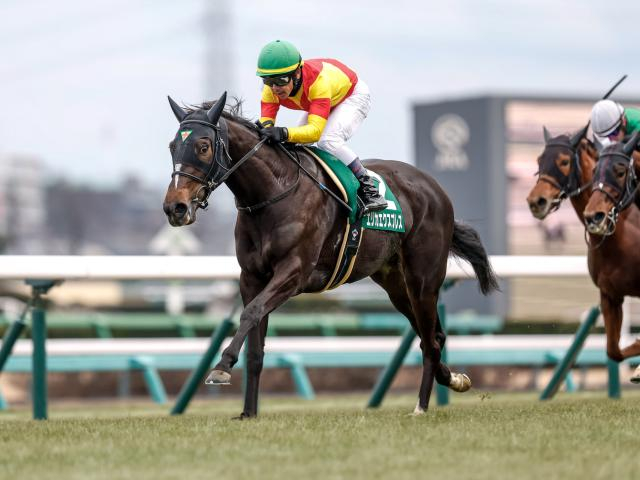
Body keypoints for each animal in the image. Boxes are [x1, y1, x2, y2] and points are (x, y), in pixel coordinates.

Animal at [162, 92, 499, 417]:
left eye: (203, 146)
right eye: (172, 146)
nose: (175, 207)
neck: (272, 195)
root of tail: (434, 188)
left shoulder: (294, 273)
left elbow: (250, 313)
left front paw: (221, 367)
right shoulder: (251, 278)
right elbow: (256, 347)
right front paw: (248, 413)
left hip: (423, 280)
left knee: (430, 340)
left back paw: (421, 406)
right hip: (395, 284)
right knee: (432, 336)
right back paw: (454, 379)